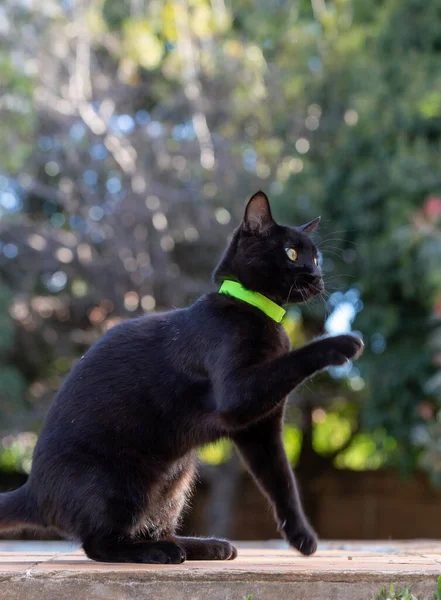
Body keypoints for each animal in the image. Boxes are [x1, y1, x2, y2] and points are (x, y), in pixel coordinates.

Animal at [0, 192, 362, 564]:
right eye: (291, 253)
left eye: (316, 257)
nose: (317, 275)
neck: (257, 310)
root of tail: (34, 490)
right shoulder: (238, 395)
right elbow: (292, 360)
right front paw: (342, 343)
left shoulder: (260, 427)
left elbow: (282, 481)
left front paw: (301, 537)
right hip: (118, 482)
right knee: (99, 544)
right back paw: (160, 552)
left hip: (177, 478)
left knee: (155, 526)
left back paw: (206, 546)